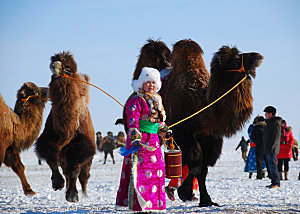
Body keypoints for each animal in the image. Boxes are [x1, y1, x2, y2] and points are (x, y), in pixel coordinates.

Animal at [35, 50, 96, 202]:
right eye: (52, 62)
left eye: (67, 68)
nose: (54, 65)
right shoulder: (48, 141)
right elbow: (51, 160)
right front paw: (57, 184)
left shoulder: (81, 146)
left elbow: (75, 170)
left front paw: (73, 196)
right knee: (67, 171)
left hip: (87, 158)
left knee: (84, 175)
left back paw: (84, 194)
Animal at [165, 39, 264, 206]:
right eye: (235, 60)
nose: (257, 56)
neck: (200, 105)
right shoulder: (183, 133)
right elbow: (195, 166)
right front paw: (184, 192)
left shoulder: (210, 137)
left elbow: (202, 169)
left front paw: (205, 200)